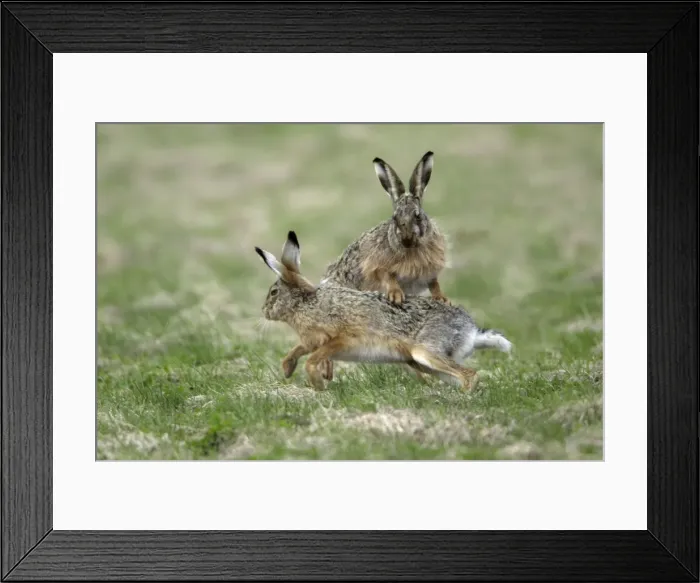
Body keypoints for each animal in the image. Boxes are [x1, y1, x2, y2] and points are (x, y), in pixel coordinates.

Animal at [254, 231, 512, 392]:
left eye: (273, 293)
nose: (264, 311)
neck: (305, 304)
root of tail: (471, 330)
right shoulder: (311, 341)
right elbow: (297, 350)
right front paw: (288, 369)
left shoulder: (341, 339)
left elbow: (312, 359)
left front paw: (318, 386)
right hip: (420, 362)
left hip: (426, 352)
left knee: (470, 375)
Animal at [321, 151, 450, 306]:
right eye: (395, 218)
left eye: (418, 216)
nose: (406, 240)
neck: (412, 249)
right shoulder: (375, 265)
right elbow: (388, 277)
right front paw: (396, 295)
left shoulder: (431, 271)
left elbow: (434, 283)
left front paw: (442, 298)